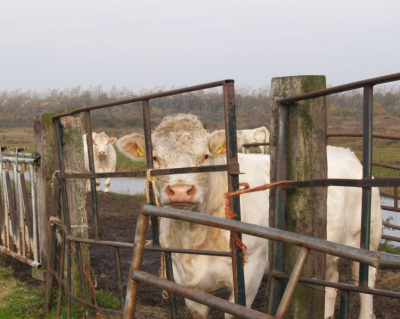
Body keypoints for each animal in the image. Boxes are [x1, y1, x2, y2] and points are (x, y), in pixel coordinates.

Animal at [115, 115, 382, 319]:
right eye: (155, 158)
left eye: (205, 156)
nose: (181, 190)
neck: (194, 235)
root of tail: (346, 152)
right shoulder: (184, 278)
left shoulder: (251, 268)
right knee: (330, 284)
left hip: (366, 240)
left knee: (366, 287)